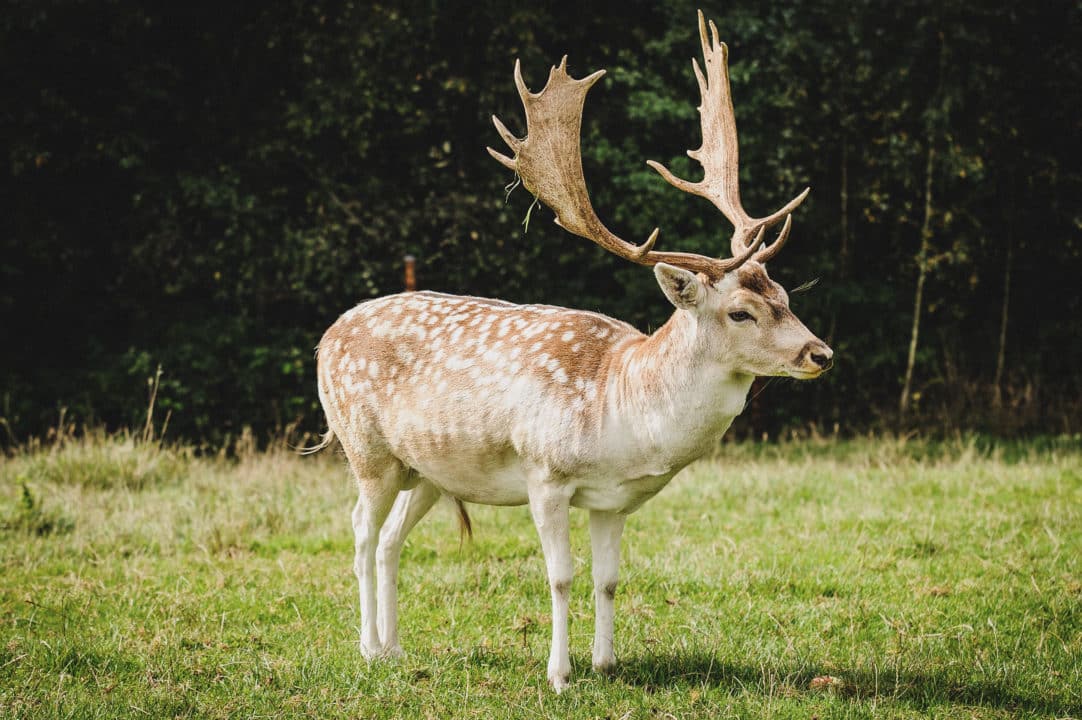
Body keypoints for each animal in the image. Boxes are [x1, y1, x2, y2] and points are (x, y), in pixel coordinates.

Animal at [313, 11, 835, 692]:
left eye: (784, 294)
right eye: (740, 311)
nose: (820, 353)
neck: (623, 408)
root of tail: (325, 337)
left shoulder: (614, 500)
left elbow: (607, 579)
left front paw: (607, 663)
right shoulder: (546, 473)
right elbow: (560, 577)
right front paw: (560, 675)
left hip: (424, 468)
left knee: (390, 540)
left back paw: (397, 648)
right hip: (365, 448)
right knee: (358, 531)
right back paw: (368, 648)